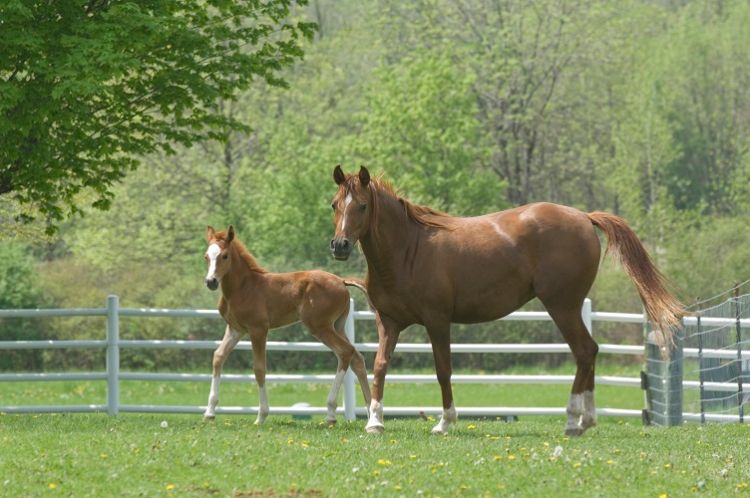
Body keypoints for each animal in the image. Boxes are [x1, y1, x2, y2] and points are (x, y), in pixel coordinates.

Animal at [202, 225, 371, 425]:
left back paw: (331, 413)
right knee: (357, 357)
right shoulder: (235, 329)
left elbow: (259, 369)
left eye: (225, 256)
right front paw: (209, 412)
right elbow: (218, 357)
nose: (211, 281)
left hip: (320, 326)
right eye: (206, 256)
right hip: (337, 325)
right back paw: (372, 413)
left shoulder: (258, 329)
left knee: (345, 352)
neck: (243, 287)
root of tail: (342, 281)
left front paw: (261, 416)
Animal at [329, 165, 683, 436]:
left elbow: (443, 369)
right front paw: (375, 421)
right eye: (335, 204)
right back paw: (586, 420)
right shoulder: (388, 322)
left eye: (362, 205)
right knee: (590, 352)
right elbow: (379, 366)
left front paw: (445, 422)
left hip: (563, 306)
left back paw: (573, 420)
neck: (407, 250)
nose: (340, 246)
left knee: (585, 351)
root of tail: (584, 216)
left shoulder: (437, 321)